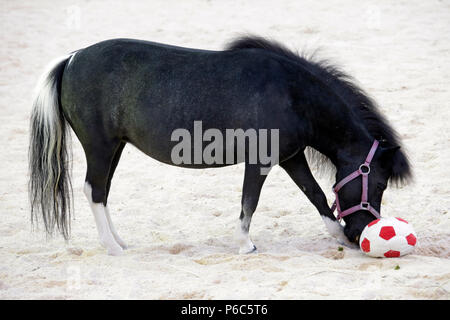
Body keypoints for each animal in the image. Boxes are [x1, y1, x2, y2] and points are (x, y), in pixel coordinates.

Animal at [28, 35, 410, 255]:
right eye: (379, 183)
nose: (360, 233)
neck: (290, 93)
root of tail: (72, 58)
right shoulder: (260, 161)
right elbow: (249, 202)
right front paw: (245, 244)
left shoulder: (291, 157)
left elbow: (314, 194)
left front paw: (335, 235)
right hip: (100, 147)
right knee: (94, 190)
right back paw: (112, 247)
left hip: (115, 148)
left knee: (103, 191)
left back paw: (119, 241)